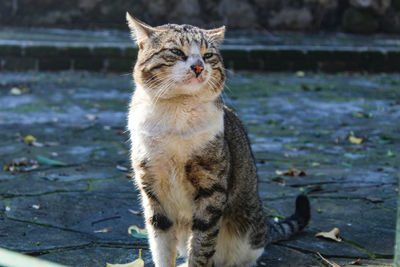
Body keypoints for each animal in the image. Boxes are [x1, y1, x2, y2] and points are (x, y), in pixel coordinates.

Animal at [126, 12, 310, 267]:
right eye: (176, 52)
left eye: (208, 55)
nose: (198, 66)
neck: (177, 111)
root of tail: (265, 224)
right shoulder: (153, 188)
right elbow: (160, 244)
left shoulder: (211, 188)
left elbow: (202, 244)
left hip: (246, 234)